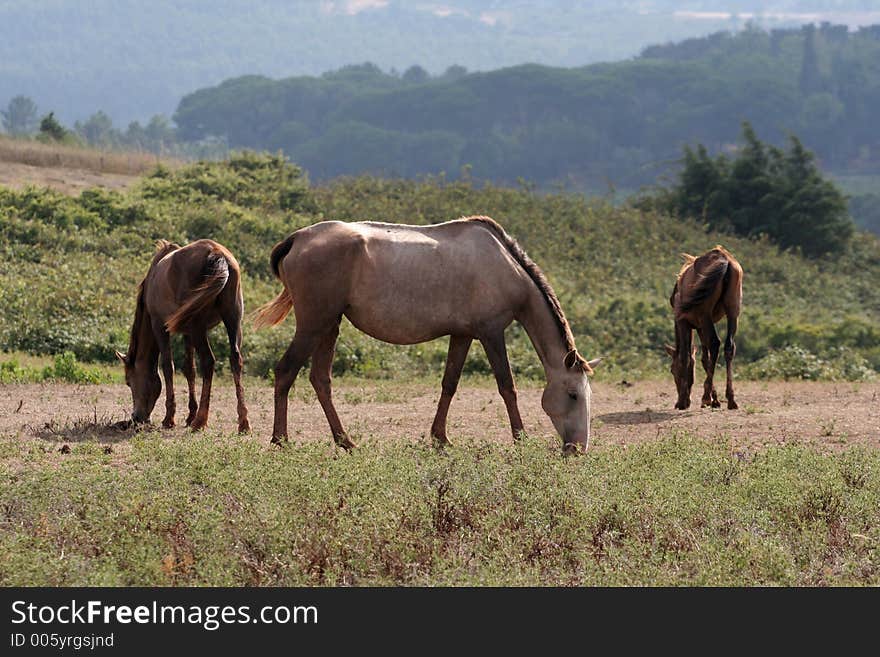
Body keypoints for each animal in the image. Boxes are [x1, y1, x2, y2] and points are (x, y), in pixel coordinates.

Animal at [251, 218, 600, 454]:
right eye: (573, 394)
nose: (577, 449)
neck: (506, 267)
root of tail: (297, 238)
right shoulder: (491, 333)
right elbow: (507, 386)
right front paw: (520, 438)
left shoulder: (462, 335)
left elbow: (450, 384)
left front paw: (440, 438)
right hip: (313, 324)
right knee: (285, 372)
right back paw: (281, 440)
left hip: (329, 325)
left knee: (320, 380)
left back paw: (344, 441)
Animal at [668, 246, 744, 410]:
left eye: (672, 369)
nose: (684, 400)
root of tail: (724, 259)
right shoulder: (699, 327)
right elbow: (705, 359)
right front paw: (715, 399)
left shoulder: (684, 322)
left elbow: (685, 357)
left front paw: (683, 401)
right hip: (733, 311)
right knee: (729, 347)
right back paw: (730, 399)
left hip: (705, 314)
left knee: (715, 343)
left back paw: (705, 397)